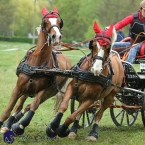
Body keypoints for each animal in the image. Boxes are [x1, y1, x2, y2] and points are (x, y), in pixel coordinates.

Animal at [0, 6, 71, 136]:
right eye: (46, 22)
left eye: (59, 22)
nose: (56, 37)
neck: (38, 64)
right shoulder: (18, 88)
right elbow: (10, 108)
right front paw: (5, 124)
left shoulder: (43, 91)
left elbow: (33, 106)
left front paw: (20, 126)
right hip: (26, 90)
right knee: (19, 105)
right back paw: (10, 123)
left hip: (50, 92)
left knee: (28, 105)